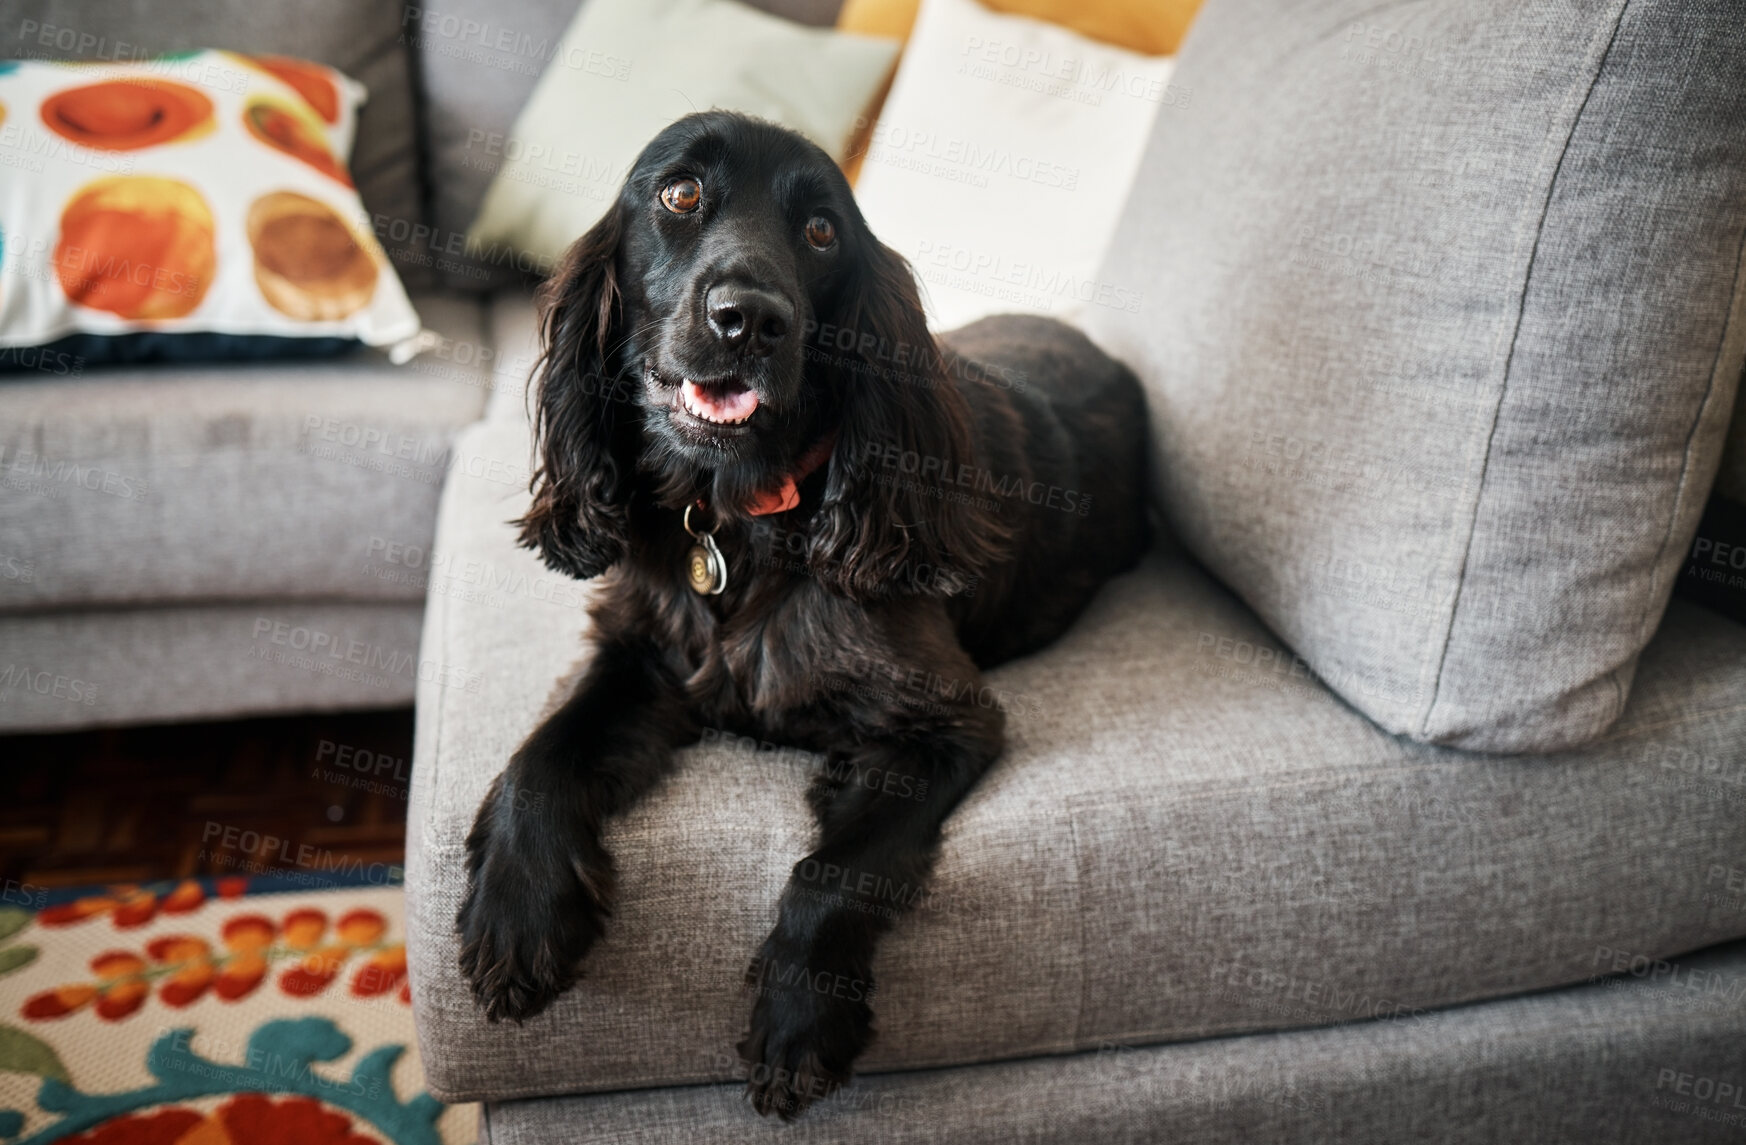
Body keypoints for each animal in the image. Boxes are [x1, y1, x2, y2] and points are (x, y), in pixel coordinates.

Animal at [457, 114, 1152, 1117]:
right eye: (678, 194)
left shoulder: (945, 720)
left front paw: (798, 1019)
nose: (748, 318)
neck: (741, 518)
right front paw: (517, 914)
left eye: (822, 231)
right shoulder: (639, 653)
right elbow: (539, 758)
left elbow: (835, 870)